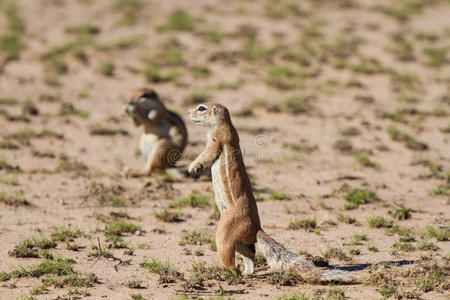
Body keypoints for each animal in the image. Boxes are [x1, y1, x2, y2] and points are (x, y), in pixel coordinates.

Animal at [187, 103, 356, 284]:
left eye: (201, 108)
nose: (188, 112)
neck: (224, 124)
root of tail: (257, 228)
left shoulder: (216, 139)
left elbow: (207, 154)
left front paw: (192, 167)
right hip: (241, 242)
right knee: (250, 254)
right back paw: (246, 272)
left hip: (224, 234)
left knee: (230, 257)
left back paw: (231, 273)